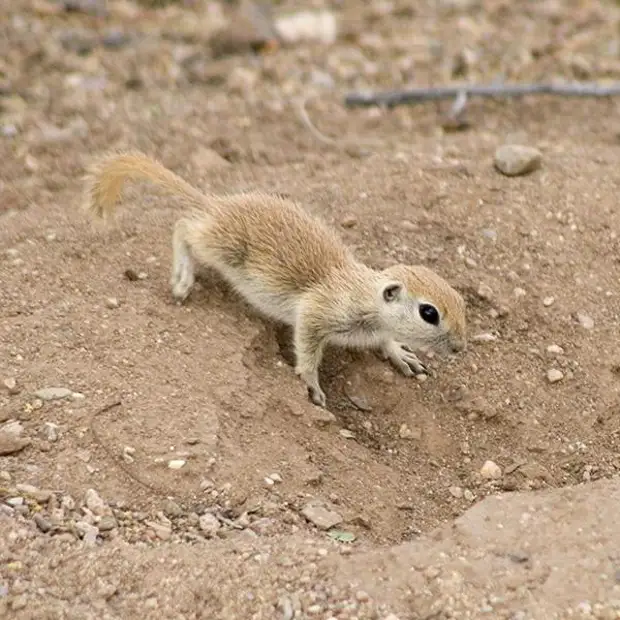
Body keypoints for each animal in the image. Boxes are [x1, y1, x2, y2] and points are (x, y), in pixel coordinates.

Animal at [85, 151, 468, 406]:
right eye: (429, 313)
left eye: (462, 301)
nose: (461, 348)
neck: (363, 294)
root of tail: (215, 204)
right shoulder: (316, 314)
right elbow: (308, 352)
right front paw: (313, 387)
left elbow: (385, 340)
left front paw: (401, 354)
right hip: (221, 248)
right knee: (183, 226)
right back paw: (182, 280)